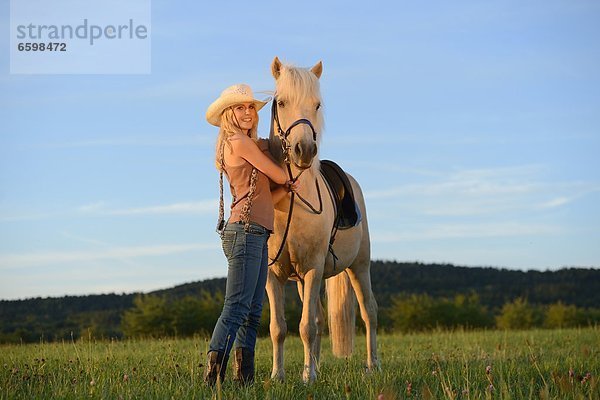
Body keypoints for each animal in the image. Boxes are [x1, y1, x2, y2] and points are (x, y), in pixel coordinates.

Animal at [264, 57, 378, 384]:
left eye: (316, 105)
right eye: (281, 101)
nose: (304, 150)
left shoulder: (313, 267)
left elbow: (306, 327)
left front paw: (308, 378)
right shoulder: (274, 275)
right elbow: (279, 328)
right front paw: (279, 376)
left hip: (359, 267)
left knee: (369, 312)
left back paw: (372, 365)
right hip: (304, 281)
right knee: (316, 317)